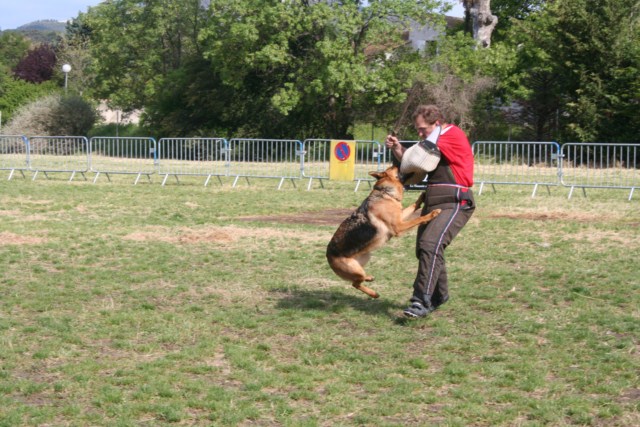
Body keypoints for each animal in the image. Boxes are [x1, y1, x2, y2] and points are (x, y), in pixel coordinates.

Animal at [324, 166, 440, 300]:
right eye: (395, 166)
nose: (399, 163)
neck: (385, 193)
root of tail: (328, 255)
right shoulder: (399, 226)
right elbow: (419, 219)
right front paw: (432, 214)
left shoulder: (400, 217)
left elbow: (413, 206)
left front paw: (422, 197)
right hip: (356, 270)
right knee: (355, 283)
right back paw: (373, 293)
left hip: (364, 258)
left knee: (356, 281)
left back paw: (369, 280)